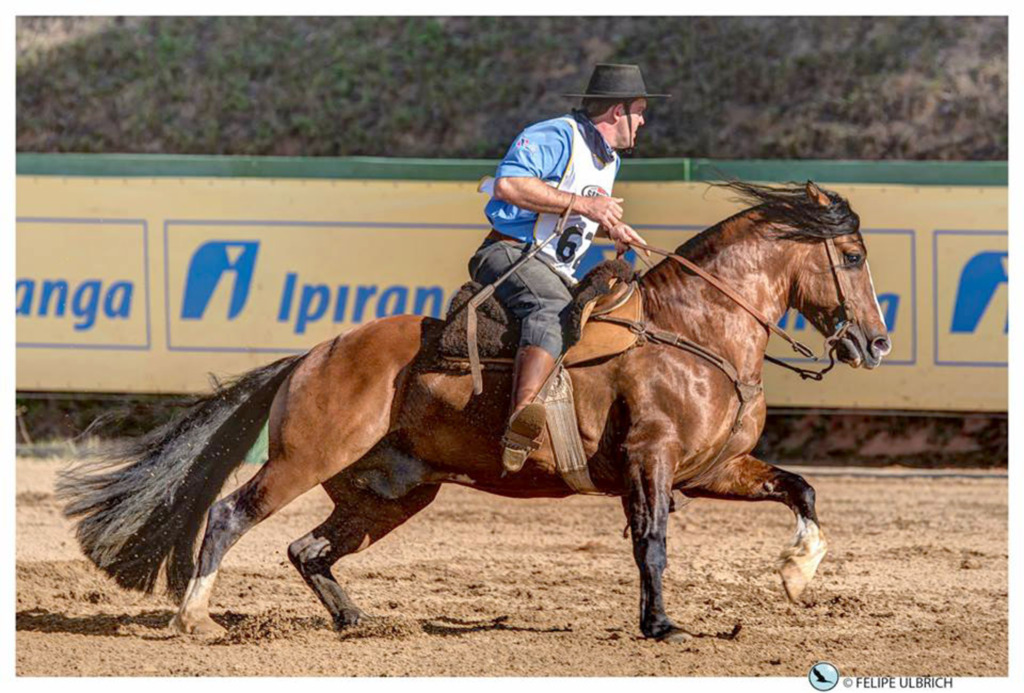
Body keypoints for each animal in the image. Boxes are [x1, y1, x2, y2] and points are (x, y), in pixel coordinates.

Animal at [58, 180, 888, 642]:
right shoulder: (651, 460)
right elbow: (652, 543)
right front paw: (661, 625)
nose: (876, 340)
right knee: (232, 514)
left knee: (308, 549)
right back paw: (196, 617)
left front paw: (797, 576)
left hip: (390, 491)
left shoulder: (712, 467)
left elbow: (801, 488)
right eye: (851, 257)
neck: (693, 332)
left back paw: (356, 621)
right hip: (303, 458)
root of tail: (311, 356)